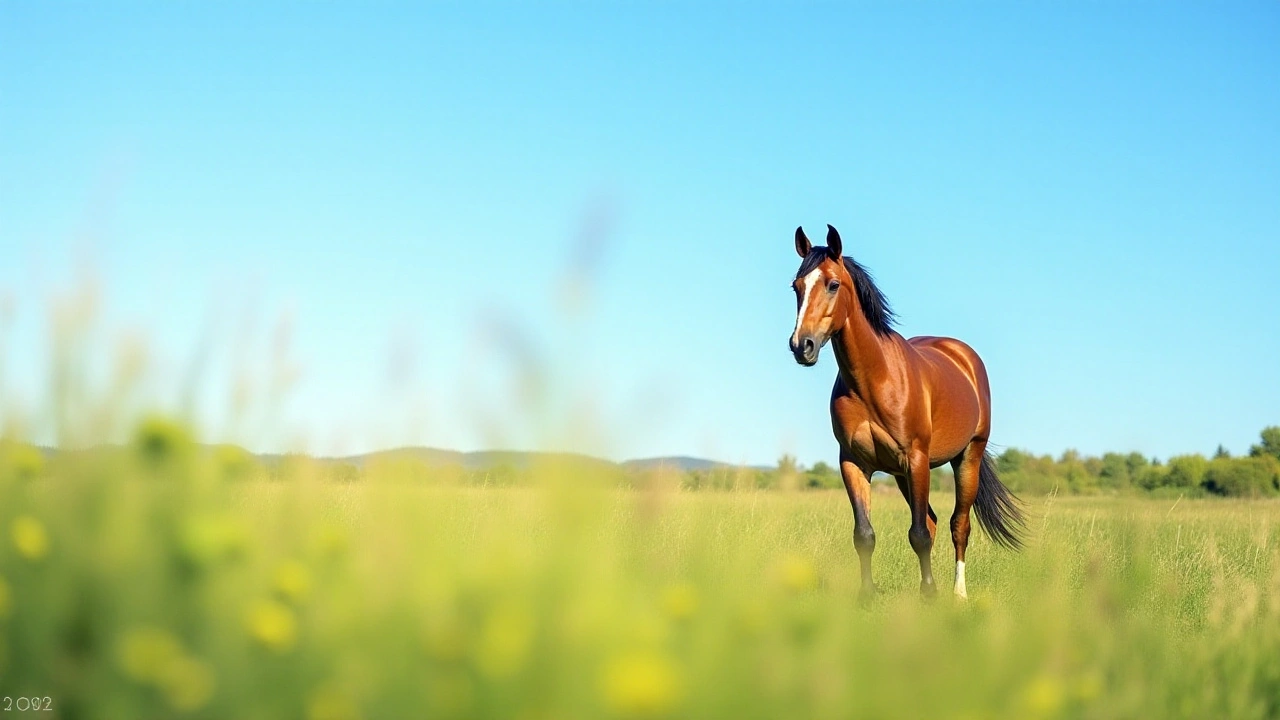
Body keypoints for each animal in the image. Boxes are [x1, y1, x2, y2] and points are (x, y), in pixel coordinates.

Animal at [783, 225, 1024, 599]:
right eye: (796, 287)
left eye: (833, 284)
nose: (801, 346)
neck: (874, 379)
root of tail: (963, 355)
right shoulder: (853, 463)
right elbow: (865, 534)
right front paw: (868, 595)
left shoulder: (917, 459)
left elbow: (919, 534)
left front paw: (930, 595)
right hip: (900, 474)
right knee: (934, 521)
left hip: (967, 457)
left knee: (958, 524)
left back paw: (958, 593)